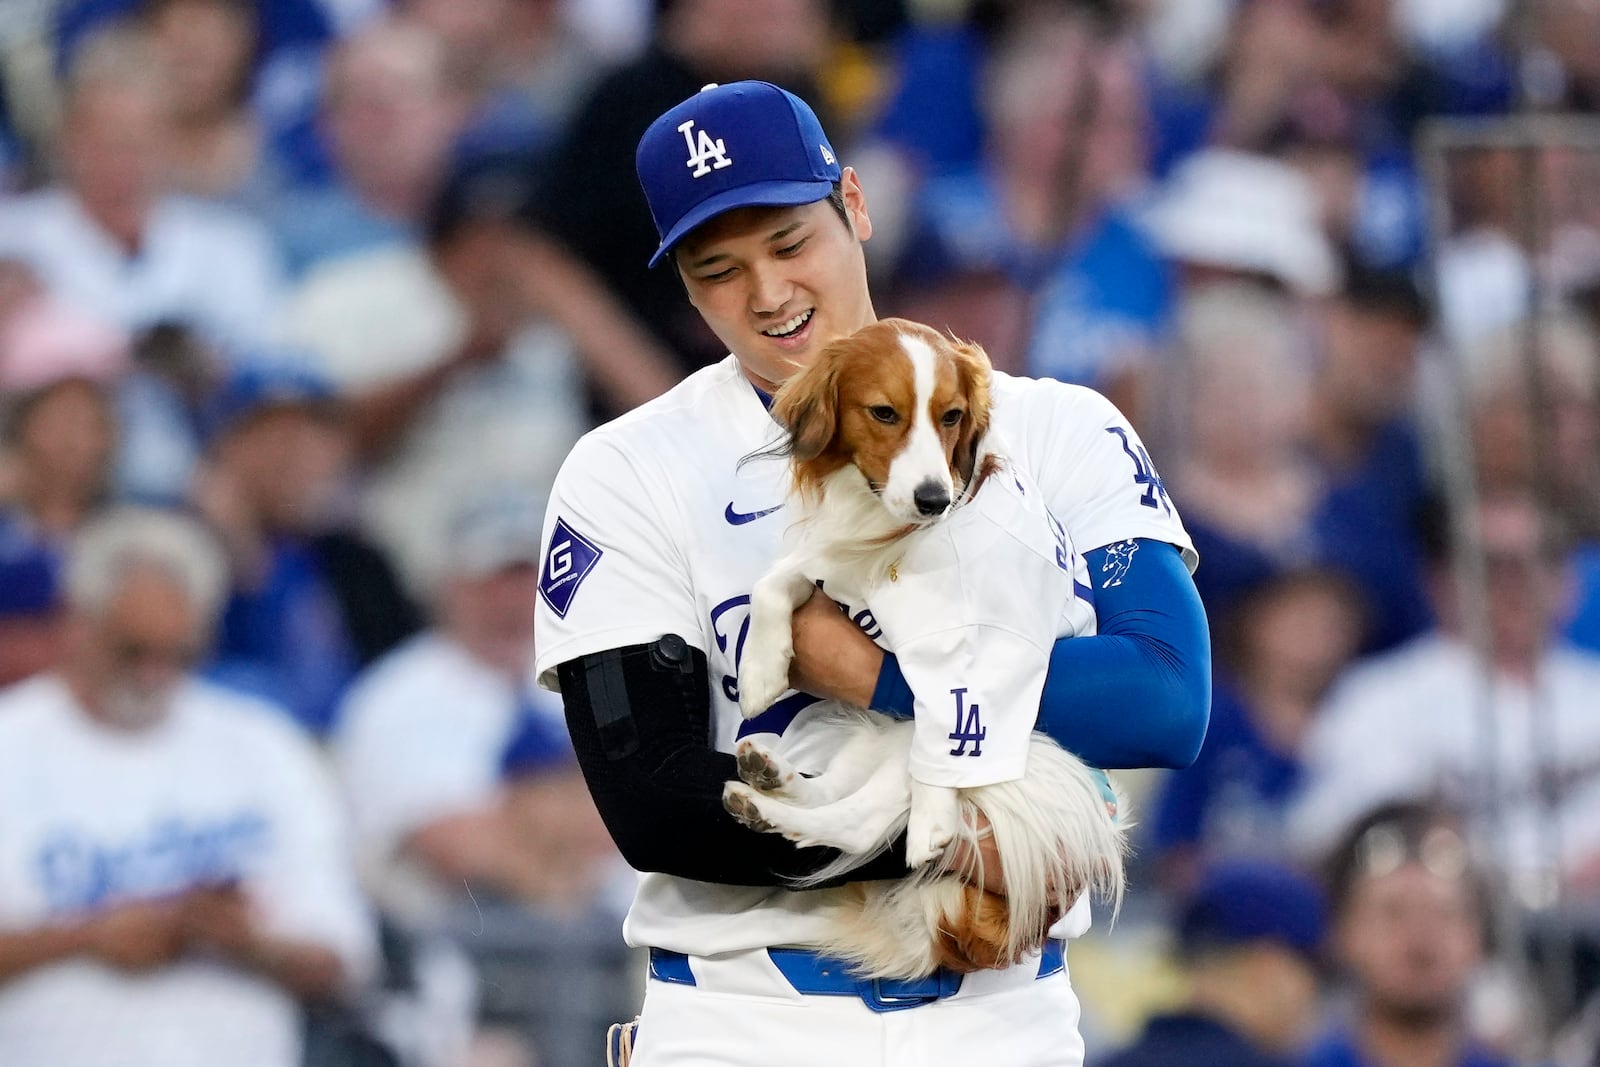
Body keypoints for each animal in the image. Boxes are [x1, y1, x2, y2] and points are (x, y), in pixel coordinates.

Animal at [726, 319, 1126, 985]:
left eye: (952, 416)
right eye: (884, 413)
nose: (934, 498)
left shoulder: (987, 648)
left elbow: (956, 719)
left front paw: (934, 823)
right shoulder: (836, 565)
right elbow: (775, 580)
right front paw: (761, 668)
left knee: (860, 824)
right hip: (878, 736)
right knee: (836, 794)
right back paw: (767, 781)